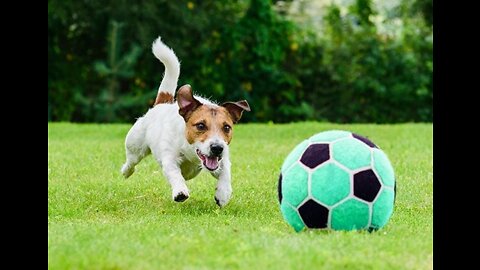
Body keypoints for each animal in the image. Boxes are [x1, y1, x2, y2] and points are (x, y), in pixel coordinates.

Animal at [121, 36, 251, 207]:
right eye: (201, 125)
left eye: (227, 127)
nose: (217, 148)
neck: (190, 151)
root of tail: (162, 104)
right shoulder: (169, 158)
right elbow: (175, 173)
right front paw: (180, 191)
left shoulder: (221, 161)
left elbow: (225, 172)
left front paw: (223, 194)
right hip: (135, 145)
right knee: (131, 161)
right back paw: (126, 171)